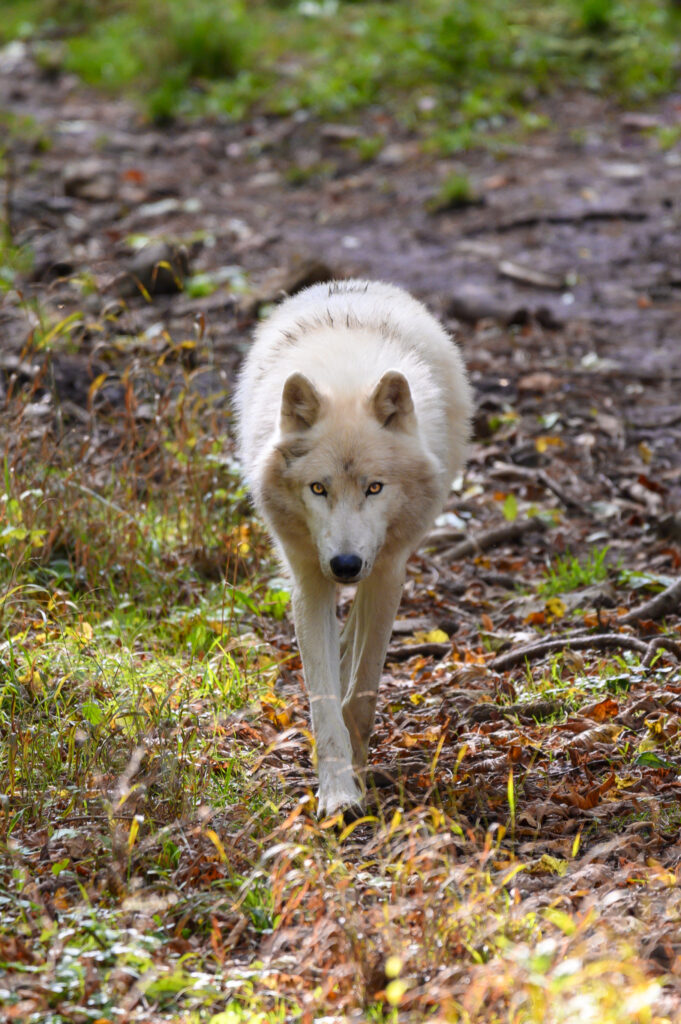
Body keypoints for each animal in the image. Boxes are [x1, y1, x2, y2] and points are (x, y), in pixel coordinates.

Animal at [235, 280, 472, 817]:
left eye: (375, 488)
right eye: (318, 489)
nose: (344, 564)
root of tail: (349, 286)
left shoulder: (387, 572)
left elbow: (362, 695)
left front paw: (359, 770)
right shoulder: (309, 579)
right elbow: (323, 702)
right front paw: (338, 792)